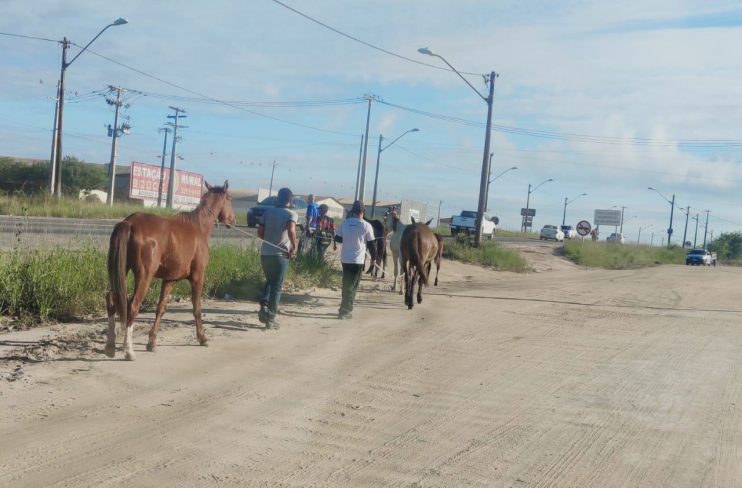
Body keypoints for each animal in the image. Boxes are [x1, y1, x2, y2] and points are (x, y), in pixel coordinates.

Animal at [104, 181, 235, 360]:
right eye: (229, 198)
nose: (232, 220)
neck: (198, 226)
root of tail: (129, 223)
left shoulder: (169, 280)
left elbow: (161, 308)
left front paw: (152, 341)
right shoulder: (198, 277)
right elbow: (197, 308)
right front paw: (202, 337)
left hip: (122, 270)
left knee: (111, 299)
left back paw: (110, 345)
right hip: (144, 276)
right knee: (133, 306)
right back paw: (129, 350)